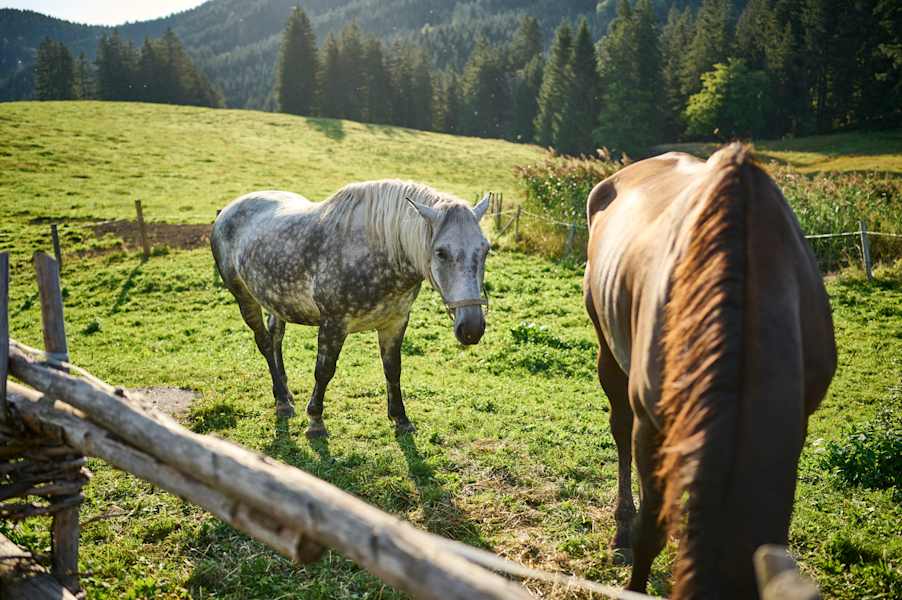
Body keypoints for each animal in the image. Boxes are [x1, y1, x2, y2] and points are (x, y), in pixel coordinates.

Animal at [212, 180, 491, 438]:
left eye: (486, 249)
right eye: (441, 252)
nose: (471, 328)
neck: (379, 251)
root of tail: (225, 211)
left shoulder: (395, 322)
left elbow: (393, 369)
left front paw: (400, 418)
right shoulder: (334, 324)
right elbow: (324, 371)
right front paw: (315, 421)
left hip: (275, 300)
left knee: (276, 337)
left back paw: (286, 393)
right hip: (245, 298)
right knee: (265, 343)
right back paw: (282, 401)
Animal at [583, 144, 836, 598]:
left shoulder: (798, 421)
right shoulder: (652, 424)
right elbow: (650, 531)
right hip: (608, 349)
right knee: (620, 428)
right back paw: (621, 531)